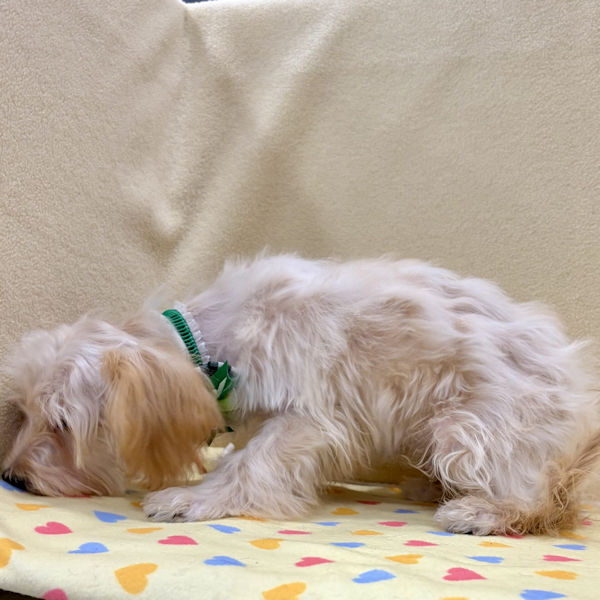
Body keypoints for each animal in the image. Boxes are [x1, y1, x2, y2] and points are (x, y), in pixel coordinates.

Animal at [2, 254, 599, 535]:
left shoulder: (309, 418)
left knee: (542, 504)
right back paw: (429, 487)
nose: (14, 476)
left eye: (64, 424)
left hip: (469, 430)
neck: (208, 347)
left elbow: (251, 462)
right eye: (23, 413)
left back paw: (481, 511)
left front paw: (189, 499)